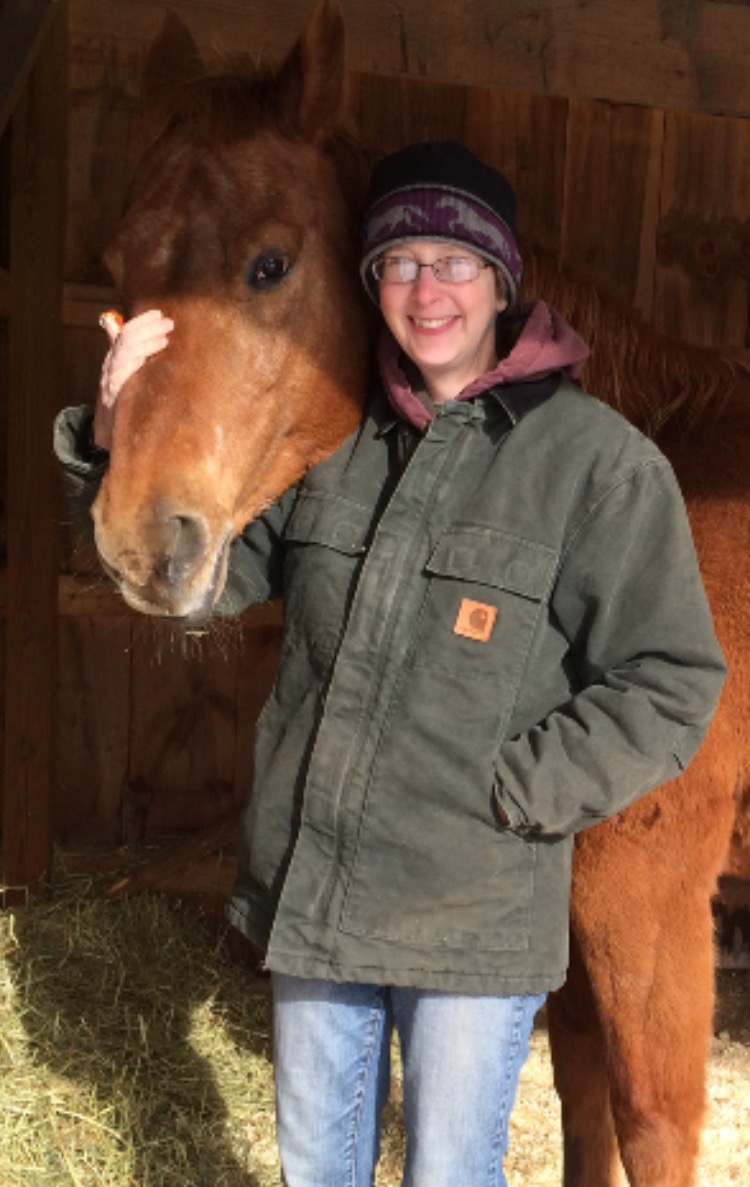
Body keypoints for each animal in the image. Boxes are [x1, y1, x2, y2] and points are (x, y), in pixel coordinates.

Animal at [90, 2, 745, 1187]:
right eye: (118, 262)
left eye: (269, 264)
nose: (140, 542)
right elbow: (582, 1086)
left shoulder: (651, 883)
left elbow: (653, 1115)